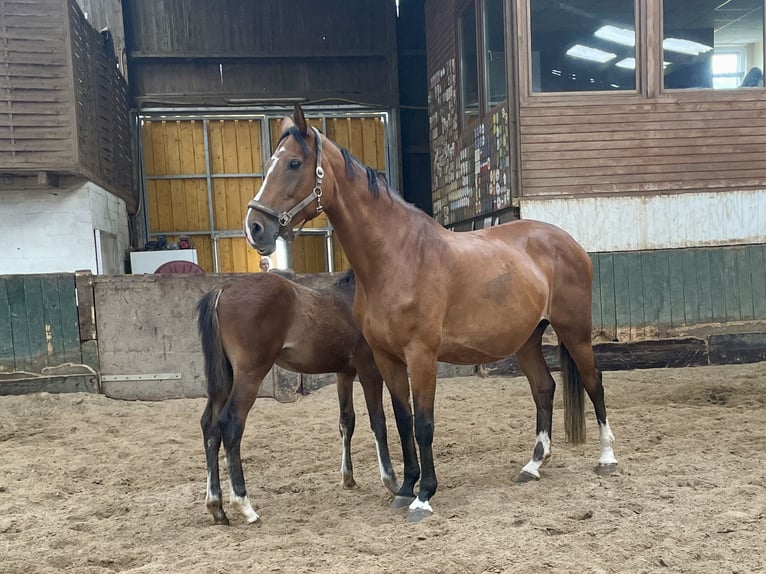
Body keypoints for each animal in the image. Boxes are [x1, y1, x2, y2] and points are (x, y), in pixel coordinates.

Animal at [196, 269, 400, 525]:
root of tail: (224, 288)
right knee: (231, 423)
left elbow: (346, 422)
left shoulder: (344, 373)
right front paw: (392, 482)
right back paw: (244, 505)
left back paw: (217, 507)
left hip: (225, 377)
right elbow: (378, 422)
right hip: (249, 373)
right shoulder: (370, 369)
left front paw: (348, 478)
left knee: (210, 426)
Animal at [244, 105, 618, 523]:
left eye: (294, 163)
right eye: (269, 164)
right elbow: (402, 419)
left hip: (574, 330)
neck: (397, 257)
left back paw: (606, 458)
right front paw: (406, 487)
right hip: (526, 340)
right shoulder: (386, 358)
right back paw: (533, 465)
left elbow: (423, 423)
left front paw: (424, 495)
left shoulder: (421, 355)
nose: (255, 227)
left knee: (594, 382)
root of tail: (569, 242)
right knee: (544, 388)